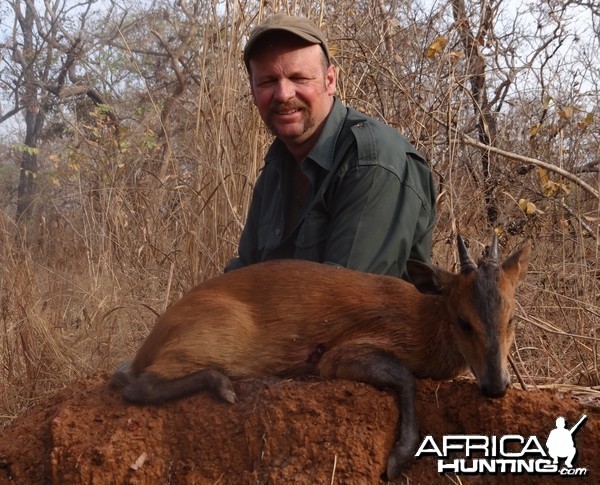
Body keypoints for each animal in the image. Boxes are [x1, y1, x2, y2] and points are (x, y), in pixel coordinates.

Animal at [112, 233, 528, 476]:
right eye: (463, 320)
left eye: (511, 317)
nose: (496, 386)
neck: (423, 321)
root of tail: (151, 341)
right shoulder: (341, 354)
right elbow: (405, 378)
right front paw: (397, 458)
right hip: (218, 337)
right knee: (137, 386)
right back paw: (223, 385)